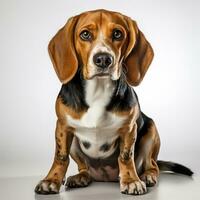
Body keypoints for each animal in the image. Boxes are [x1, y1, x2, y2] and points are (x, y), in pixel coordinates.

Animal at [35, 9, 193, 195]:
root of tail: (104, 177)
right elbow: (60, 157)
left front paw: (131, 181)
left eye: (117, 34)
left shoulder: (129, 128)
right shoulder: (63, 126)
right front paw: (51, 180)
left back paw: (147, 176)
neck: (98, 90)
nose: (103, 59)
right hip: (75, 144)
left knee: (153, 165)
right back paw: (80, 177)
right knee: (84, 168)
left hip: (151, 131)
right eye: (85, 34)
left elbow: (125, 157)